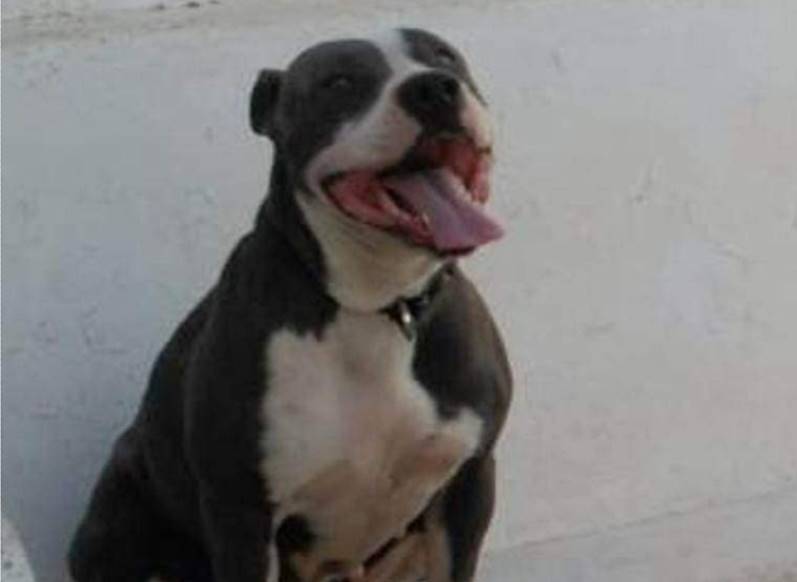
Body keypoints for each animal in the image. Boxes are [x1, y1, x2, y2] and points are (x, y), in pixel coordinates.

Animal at [68, 28, 512, 582]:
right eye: (338, 81)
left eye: (444, 56)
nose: (434, 88)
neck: (373, 305)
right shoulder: (241, 511)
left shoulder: (471, 478)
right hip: (117, 524)